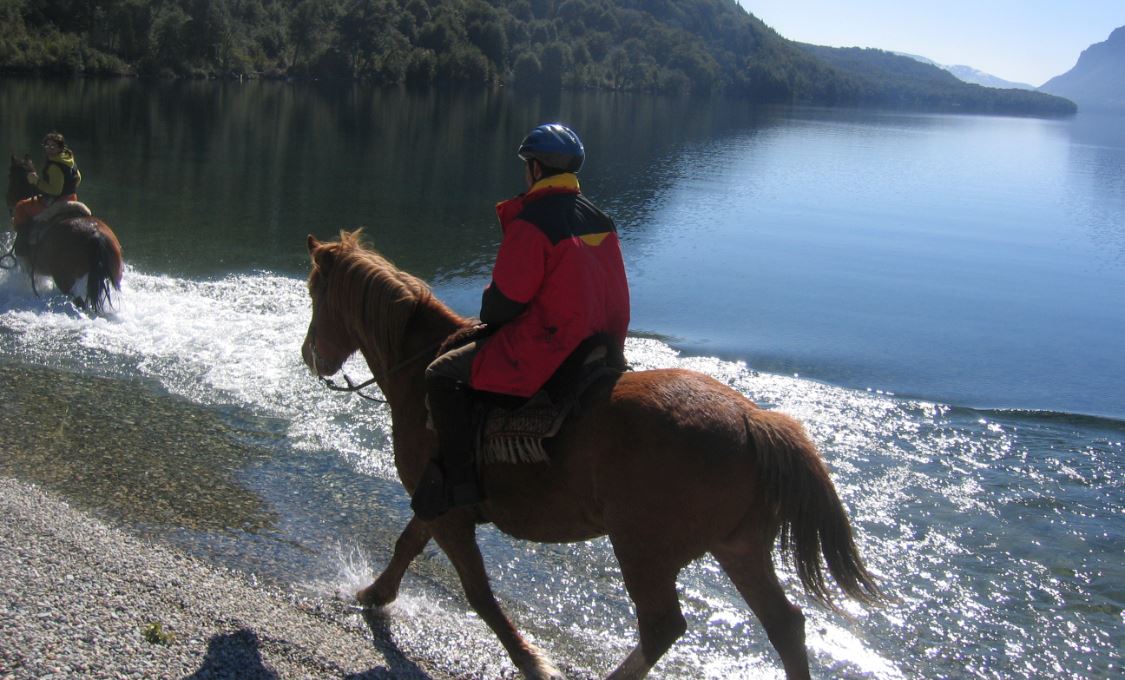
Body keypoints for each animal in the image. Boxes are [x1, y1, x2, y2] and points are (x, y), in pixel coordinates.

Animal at [6, 154, 123, 312]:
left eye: (10, 176)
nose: (8, 201)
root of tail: (95, 235)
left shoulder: (26, 266)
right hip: (113, 276)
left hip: (65, 281)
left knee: (79, 301)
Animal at [306, 228, 877, 680]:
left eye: (315, 291)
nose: (312, 356)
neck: (418, 372)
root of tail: (752, 421)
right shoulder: (439, 506)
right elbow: (407, 546)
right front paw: (373, 595)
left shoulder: (448, 513)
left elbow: (478, 593)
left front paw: (532, 661)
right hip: (738, 546)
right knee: (784, 625)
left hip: (644, 551)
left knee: (663, 627)